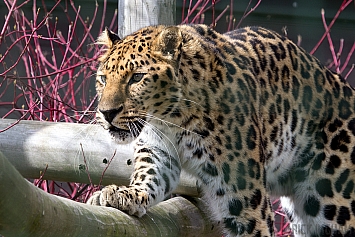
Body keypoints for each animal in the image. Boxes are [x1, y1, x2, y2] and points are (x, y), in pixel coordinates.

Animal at [87, 24, 355, 237]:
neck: (170, 121)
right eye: (103, 78)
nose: (107, 113)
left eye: (137, 77)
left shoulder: (245, 201)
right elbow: (148, 177)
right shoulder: (159, 152)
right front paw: (122, 194)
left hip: (334, 203)